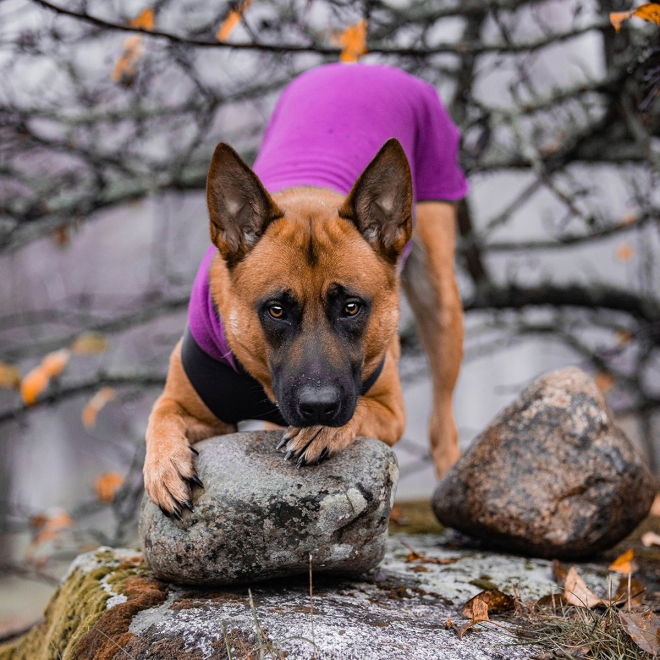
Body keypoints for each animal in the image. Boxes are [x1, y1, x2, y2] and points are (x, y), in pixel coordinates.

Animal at [143, 63, 470, 516]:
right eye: (276, 310)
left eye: (351, 307)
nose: (318, 407)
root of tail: (363, 67)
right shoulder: (185, 404)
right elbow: (159, 418)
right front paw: (164, 466)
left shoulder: (390, 409)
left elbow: (361, 407)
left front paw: (320, 431)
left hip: (439, 300)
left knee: (442, 425)